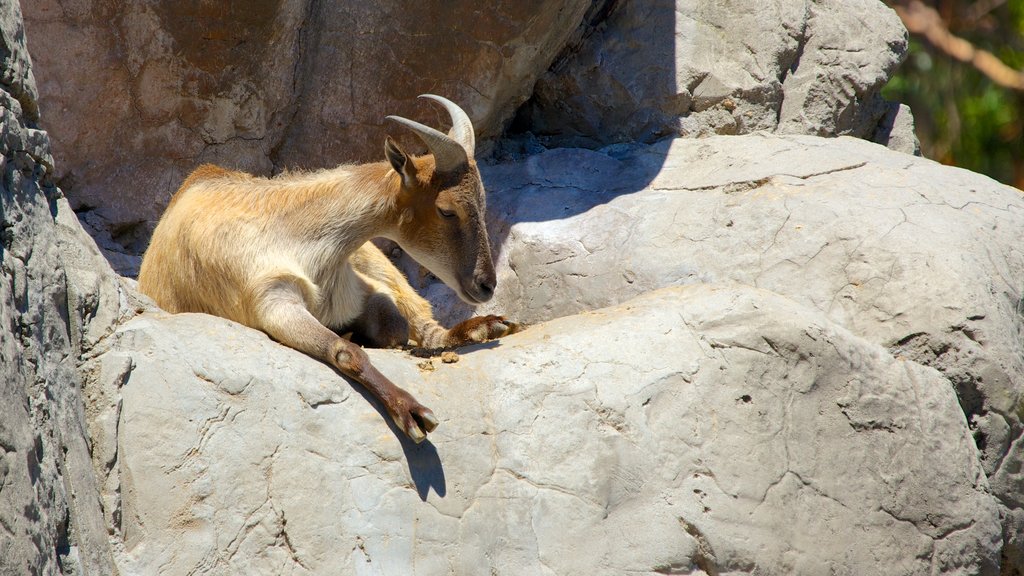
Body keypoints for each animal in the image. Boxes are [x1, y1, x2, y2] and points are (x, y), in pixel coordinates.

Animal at [138, 96, 512, 440]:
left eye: (481, 203)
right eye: (447, 210)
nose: (485, 285)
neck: (297, 237)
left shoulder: (362, 290)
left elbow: (394, 327)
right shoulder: (271, 301)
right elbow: (345, 350)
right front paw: (411, 410)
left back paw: (486, 326)